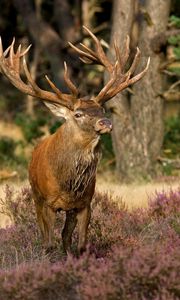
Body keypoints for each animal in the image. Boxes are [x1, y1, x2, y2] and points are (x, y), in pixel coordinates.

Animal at [0, 27, 149, 254]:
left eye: (101, 109)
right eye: (78, 114)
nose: (106, 122)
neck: (69, 184)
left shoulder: (85, 202)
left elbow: (80, 244)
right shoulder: (48, 202)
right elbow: (48, 242)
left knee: (65, 237)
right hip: (35, 196)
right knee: (45, 236)